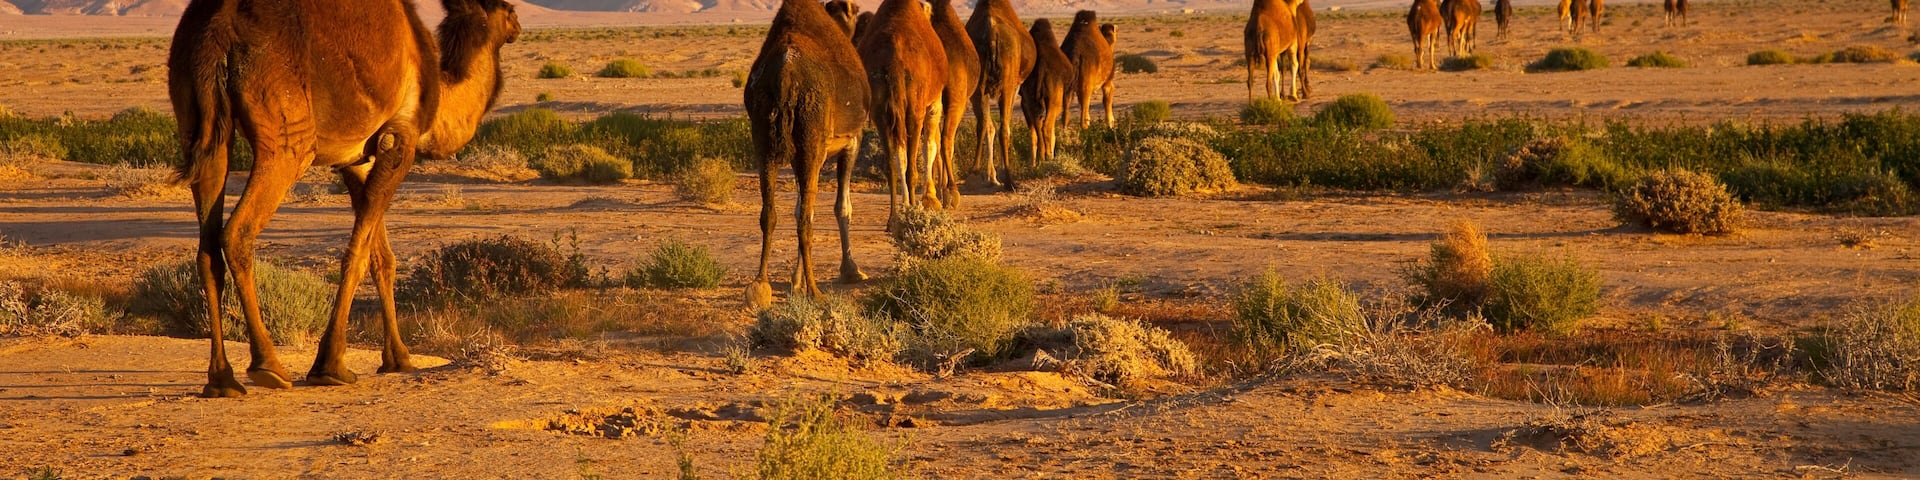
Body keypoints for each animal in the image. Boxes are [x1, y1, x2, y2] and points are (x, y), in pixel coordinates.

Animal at [167, 0, 519, 397]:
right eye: (506, 9)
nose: (517, 22)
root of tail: (217, 28)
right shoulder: (401, 140)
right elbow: (357, 255)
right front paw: (330, 365)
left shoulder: (358, 161)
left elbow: (382, 257)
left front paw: (398, 358)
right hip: (288, 136)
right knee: (238, 232)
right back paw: (269, 366)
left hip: (200, 128)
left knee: (207, 247)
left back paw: (222, 379)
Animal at [744, 0, 871, 310]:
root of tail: (786, 75)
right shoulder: (852, 140)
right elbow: (842, 208)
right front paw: (851, 270)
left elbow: (799, 206)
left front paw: (795, 280)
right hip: (811, 136)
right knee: (806, 218)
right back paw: (815, 290)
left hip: (763, 135)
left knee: (770, 211)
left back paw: (760, 285)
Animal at [858, 0, 947, 221]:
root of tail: (894, 61)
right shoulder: (934, 103)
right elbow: (930, 145)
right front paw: (931, 200)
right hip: (915, 107)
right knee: (912, 164)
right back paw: (913, 210)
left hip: (879, 108)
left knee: (893, 162)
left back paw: (893, 218)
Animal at [966, 0, 1036, 190]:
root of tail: (990, 34)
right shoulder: (1015, 85)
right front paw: (995, 177)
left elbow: (989, 126)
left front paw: (992, 177)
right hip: (1008, 84)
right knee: (1004, 127)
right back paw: (1010, 181)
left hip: (977, 86)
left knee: (983, 124)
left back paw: (974, 171)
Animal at [1022, 19, 1072, 171]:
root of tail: (1041, 66)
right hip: (1054, 99)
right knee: (1047, 127)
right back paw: (1049, 158)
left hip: (1029, 98)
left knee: (1034, 130)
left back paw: (1035, 162)